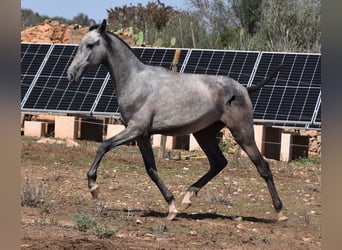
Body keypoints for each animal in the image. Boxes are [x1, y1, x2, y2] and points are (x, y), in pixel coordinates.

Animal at [68, 20, 288, 223]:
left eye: (90, 45)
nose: (71, 74)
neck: (135, 81)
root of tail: (243, 88)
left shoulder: (135, 129)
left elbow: (103, 146)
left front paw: (94, 188)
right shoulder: (142, 136)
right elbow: (151, 169)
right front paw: (172, 207)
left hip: (242, 132)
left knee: (263, 167)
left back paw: (280, 212)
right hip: (204, 133)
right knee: (218, 162)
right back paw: (187, 198)